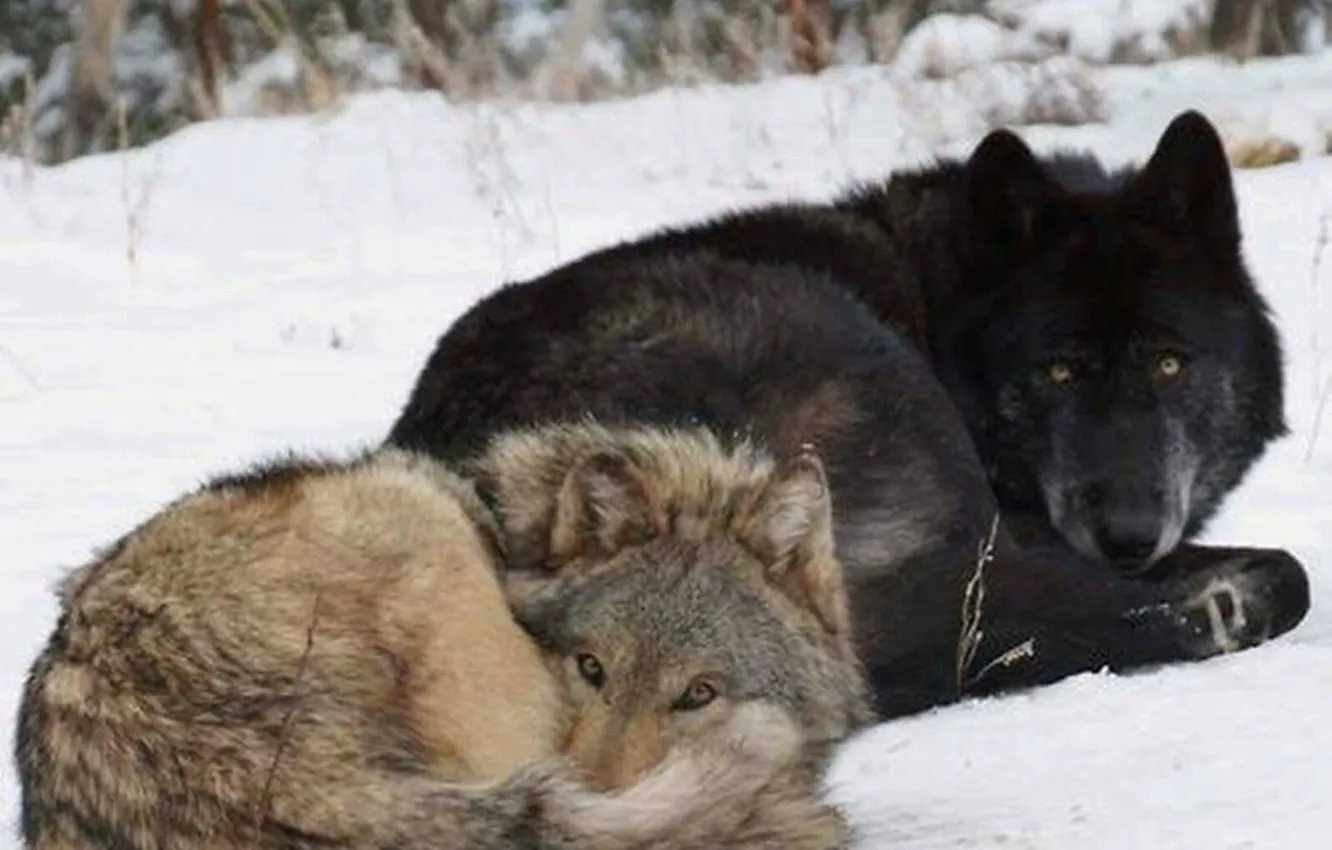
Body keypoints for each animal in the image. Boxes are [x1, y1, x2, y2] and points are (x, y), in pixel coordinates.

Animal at [386, 110, 1309, 717]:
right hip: (869, 368)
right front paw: (1216, 596)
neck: (938, 300)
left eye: (1170, 362)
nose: (1128, 535)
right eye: (1056, 371)